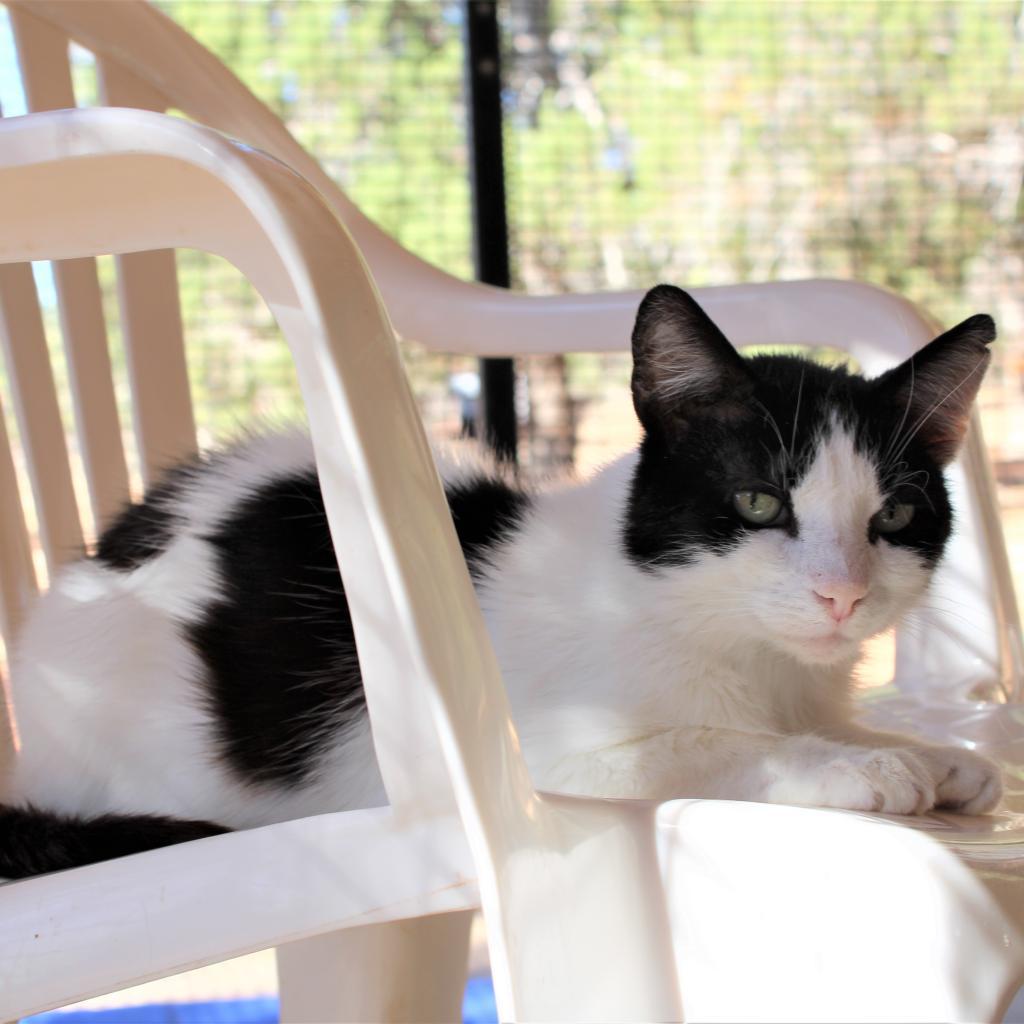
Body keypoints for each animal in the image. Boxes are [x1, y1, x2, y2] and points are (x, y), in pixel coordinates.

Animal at [0, 284, 1003, 876]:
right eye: (759, 502)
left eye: (895, 518)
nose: (843, 594)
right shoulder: (539, 758)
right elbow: (710, 743)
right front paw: (858, 765)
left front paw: (931, 752)